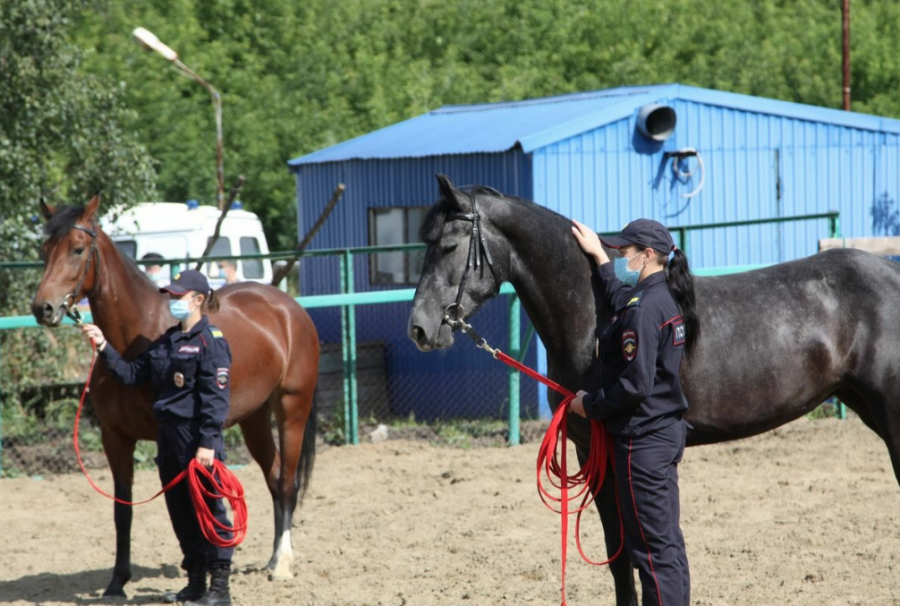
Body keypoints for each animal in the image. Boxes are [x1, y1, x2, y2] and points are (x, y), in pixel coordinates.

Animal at [31, 196, 320, 600]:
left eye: (77, 249)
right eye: (44, 250)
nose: (42, 308)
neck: (136, 338)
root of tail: (288, 308)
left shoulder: (168, 440)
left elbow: (189, 507)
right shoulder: (115, 438)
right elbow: (123, 511)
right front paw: (116, 584)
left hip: (292, 407)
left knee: (289, 482)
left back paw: (282, 565)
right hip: (255, 418)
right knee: (275, 477)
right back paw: (270, 559)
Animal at [406, 173, 900, 604]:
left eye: (448, 246)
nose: (419, 329)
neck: (594, 315)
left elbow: (636, 555)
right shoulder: (589, 451)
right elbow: (619, 557)